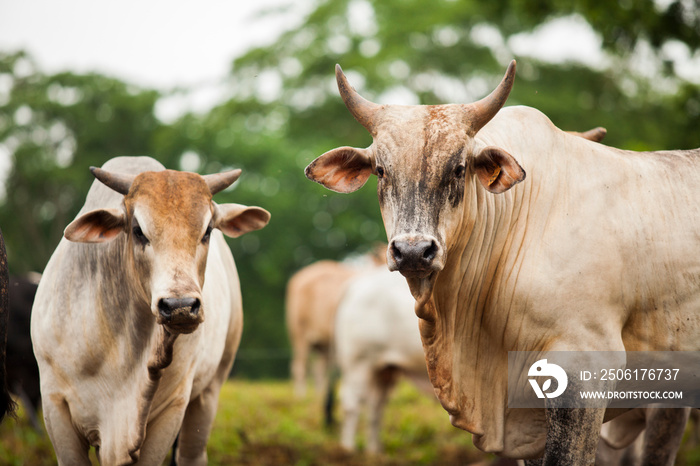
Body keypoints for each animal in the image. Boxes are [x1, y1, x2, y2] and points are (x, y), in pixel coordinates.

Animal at [31, 157, 270, 466]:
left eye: (207, 230)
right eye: (138, 230)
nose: (180, 307)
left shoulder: (171, 409)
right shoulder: (55, 404)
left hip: (209, 391)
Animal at [306, 61, 700, 462]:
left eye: (459, 168)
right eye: (382, 170)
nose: (413, 251)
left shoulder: (588, 367)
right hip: (362, 364)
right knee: (357, 405)